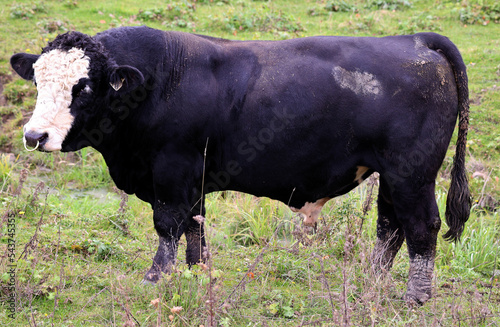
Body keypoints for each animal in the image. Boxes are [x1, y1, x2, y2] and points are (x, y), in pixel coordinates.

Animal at [12, 26, 472, 306]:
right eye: (37, 81)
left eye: (84, 86)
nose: (35, 136)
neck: (157, 81)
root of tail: (414, 40)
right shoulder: (192, 179)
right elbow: (195, 228)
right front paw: (197, 276)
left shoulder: (172, 171)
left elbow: (168, 225)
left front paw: (155, 279)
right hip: (393, 176)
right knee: (390, 226)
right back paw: (372, 283)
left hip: (411, 172)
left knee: (421, 226)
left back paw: (416, 296)